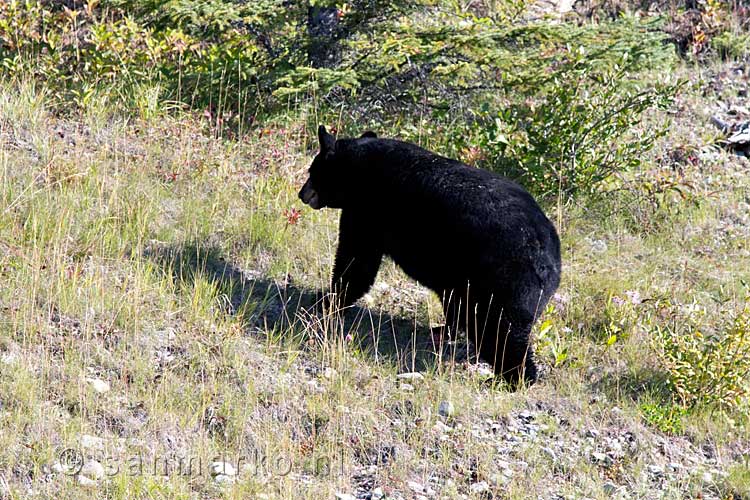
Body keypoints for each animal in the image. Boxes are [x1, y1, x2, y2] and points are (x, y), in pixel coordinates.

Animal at [296, 125, 560, 382]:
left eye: (312, 171)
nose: (301, 194)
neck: (357, 166)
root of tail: (550, 261)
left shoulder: (368, 209)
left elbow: (357, 261)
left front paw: (325, 299)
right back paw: (443, 331)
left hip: (503, 282)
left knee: (500, 330)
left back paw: (514, 378)